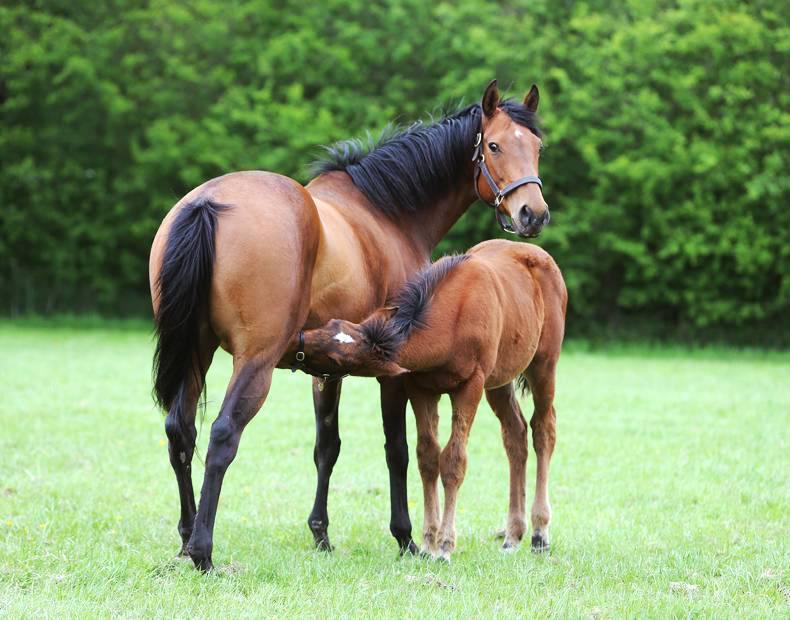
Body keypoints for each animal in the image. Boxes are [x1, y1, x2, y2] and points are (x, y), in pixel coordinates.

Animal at [296, 239, 567, 561]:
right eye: (330, 325)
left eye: (337, 358)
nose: (298, 340)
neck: (451, 319)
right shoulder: (422, 389)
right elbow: (427, 457)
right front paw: (428, 542)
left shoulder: (470, 387)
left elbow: (453, 460)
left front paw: (446, 545)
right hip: (500, 380)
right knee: (515, 434)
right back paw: (512, 535)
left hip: (543, 365)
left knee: (543, 431)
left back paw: (540, 534)